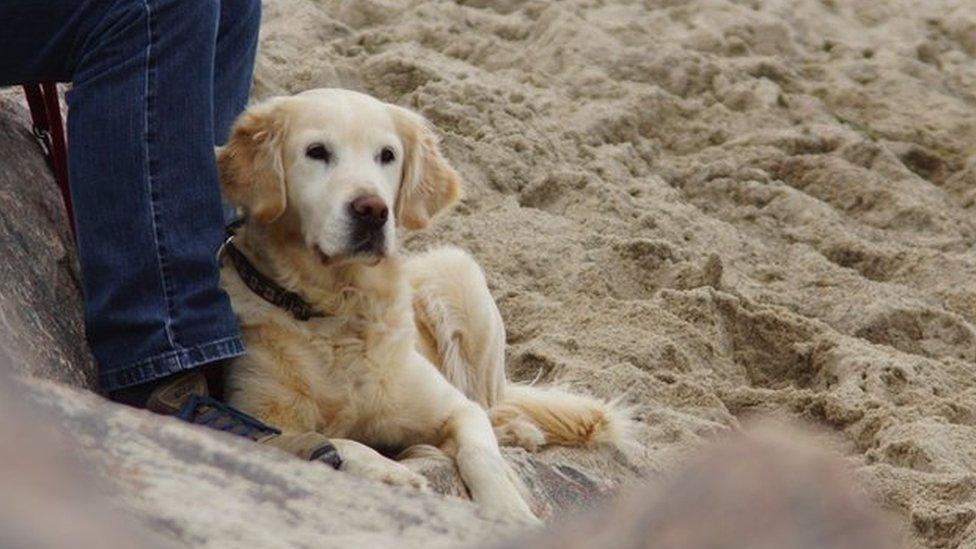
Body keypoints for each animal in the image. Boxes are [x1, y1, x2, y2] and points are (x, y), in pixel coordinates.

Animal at [214, 88, 632, 520]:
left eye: (387, 155)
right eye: (317, 151)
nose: (372, 210)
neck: (340, 308)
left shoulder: (454, 408)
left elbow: (482, 454)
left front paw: (509, 511)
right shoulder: (258, 422)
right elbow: (335, 440)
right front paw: (391, 472)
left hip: (457, 269)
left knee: (490, 402)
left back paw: (516, 429)